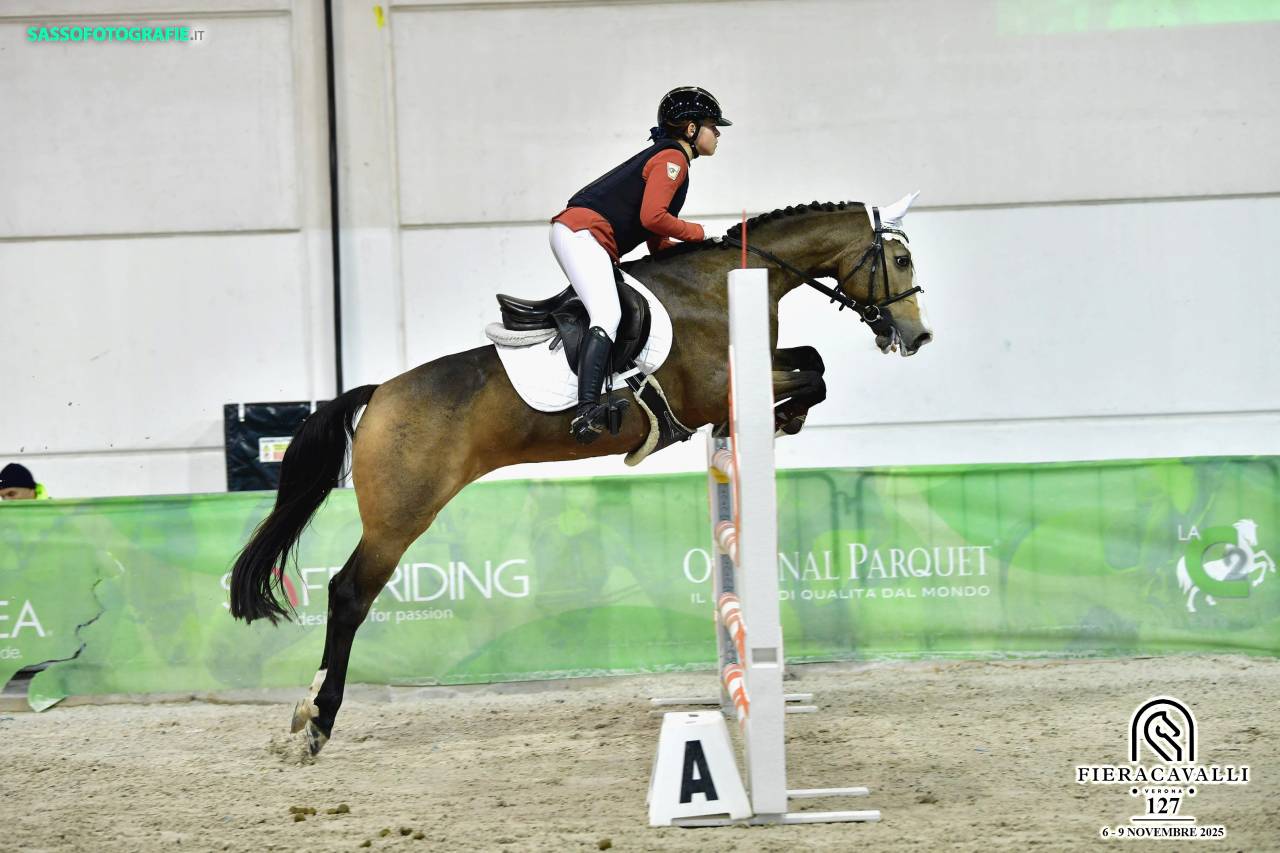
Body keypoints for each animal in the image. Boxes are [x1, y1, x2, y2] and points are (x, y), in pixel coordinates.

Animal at [229, 194, 934, 755]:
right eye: (900, 261)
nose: (916, 336)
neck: (722, 285)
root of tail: (377, 396)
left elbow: (811, 362)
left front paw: (784, 417)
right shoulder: (715, 388)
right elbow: (811, 373)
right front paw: (785, 417)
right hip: (401, 518)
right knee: (349, 594)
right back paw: (316, 720)